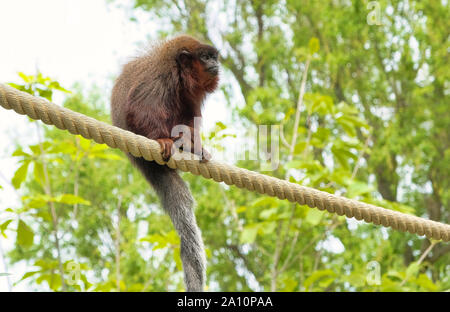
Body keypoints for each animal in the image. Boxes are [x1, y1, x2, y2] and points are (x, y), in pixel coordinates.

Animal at [110, 35, 220, 292]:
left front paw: (194, 145)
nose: (216, 63)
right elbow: (139, 108)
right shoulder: (162, 76)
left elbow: (190, 120)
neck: (181, 74)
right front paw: (162, 139)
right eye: (206, 57)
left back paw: (185, 145)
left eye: (214, 57)